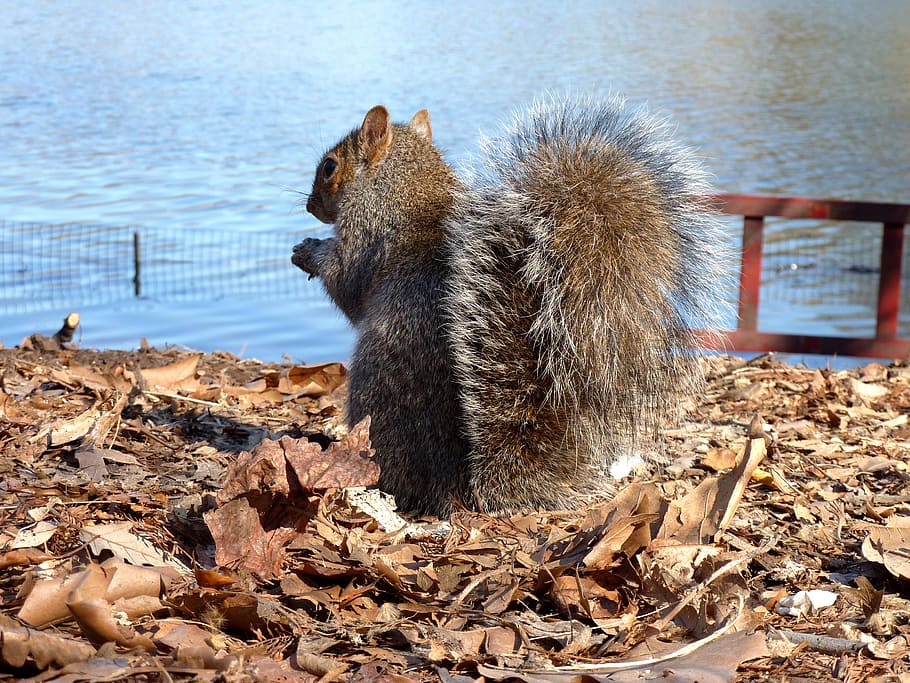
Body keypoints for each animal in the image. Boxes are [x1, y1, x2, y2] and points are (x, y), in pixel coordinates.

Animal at [292, 96, 728, 516]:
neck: (404, 180)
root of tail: (465, 490)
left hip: (375, 395)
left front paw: (310, 252)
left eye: (330, 166)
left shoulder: (365, 231)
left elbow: (348, 282)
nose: (310, 205)